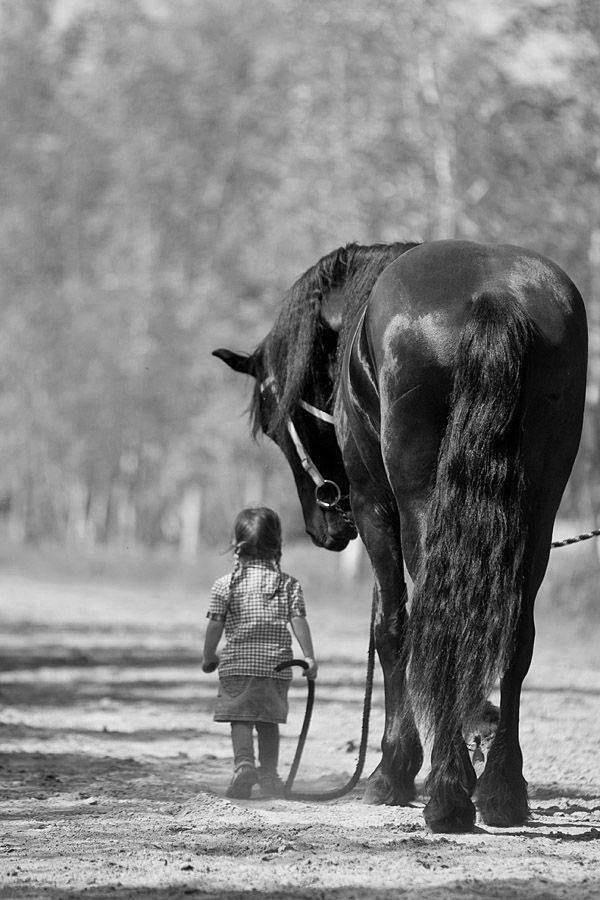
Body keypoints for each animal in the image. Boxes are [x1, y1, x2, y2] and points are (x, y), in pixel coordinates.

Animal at [214, 237, 584, 828]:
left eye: (275, 425)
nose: (324, 526)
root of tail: (494, 296)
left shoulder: (373, 506)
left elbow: (391, 629)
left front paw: (394, 769)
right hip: (539, 508)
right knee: (515, 634)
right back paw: (502, 790)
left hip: (417, 506)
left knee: (437, 621)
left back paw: (447, 793)